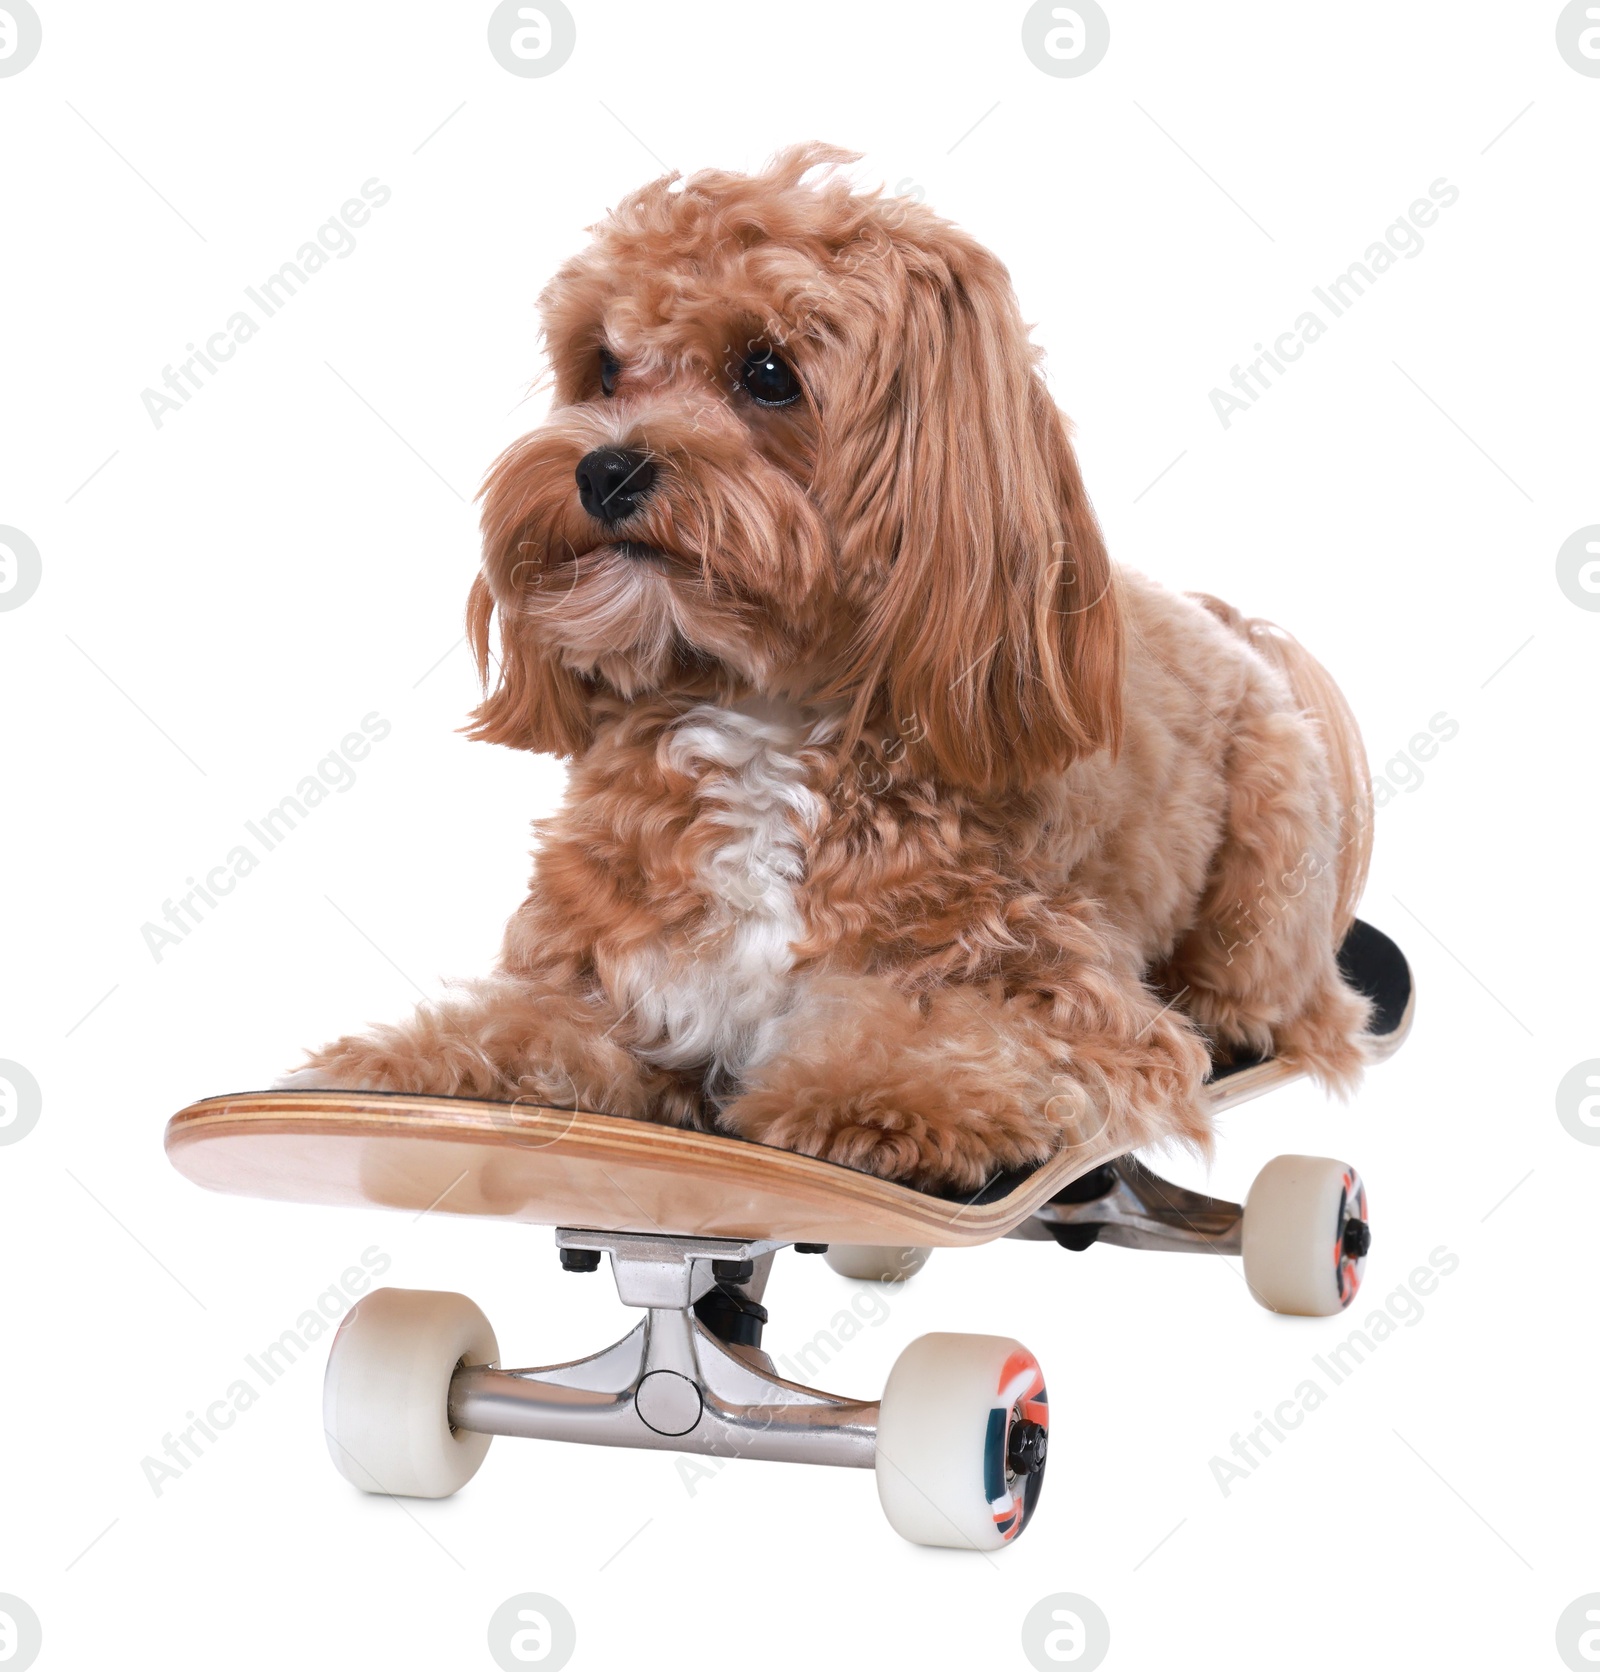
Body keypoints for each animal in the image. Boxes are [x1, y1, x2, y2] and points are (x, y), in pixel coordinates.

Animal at [277, 143, 1370, 1190]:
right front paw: (402, 1067)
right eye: (603, 366)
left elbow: (950, 1038)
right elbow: (520, 1028)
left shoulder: (1073, 1001)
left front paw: (882, 1101)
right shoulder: (613, 979)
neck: (760, 715)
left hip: (1269, 857)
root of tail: (1232, 629)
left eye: (766, 371)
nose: (603, 469)